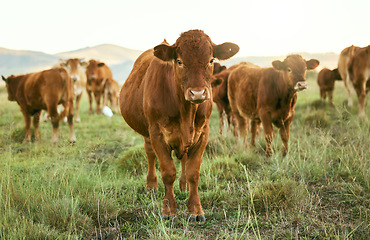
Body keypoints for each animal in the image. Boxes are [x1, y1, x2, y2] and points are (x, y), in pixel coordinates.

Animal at [119, 30, 240, 221]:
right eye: (179, 61)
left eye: (211, 60)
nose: (198, 93)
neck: (185, 112)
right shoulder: (157, 133)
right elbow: (168, 172)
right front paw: (169, 210)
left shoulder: (202, 133)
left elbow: (193, 172)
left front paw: (196, 210)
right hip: (147, 132)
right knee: (150, 154)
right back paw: (151, 185)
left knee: (183, 159)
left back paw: (183, 186)